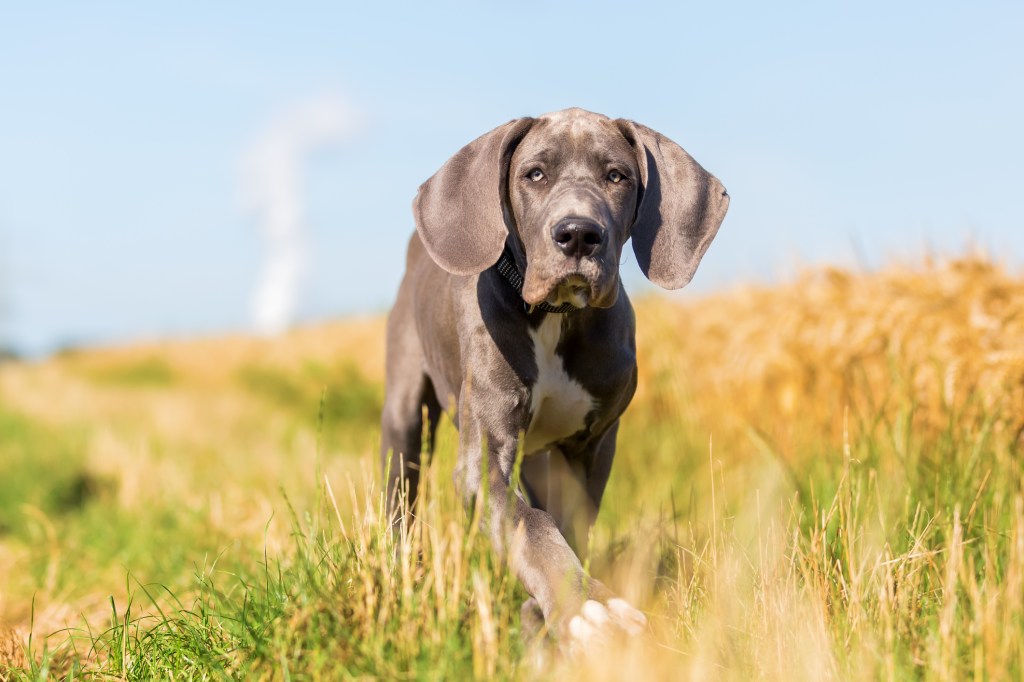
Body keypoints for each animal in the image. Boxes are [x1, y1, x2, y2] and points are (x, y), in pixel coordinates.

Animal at [382, 109, 729, 647]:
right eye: (535, 174)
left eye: (617, 176)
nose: (578, 234)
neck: (556, 316)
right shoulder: (485, 458)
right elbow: (532, 526)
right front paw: (588, 606)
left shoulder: (593, 448)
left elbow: (570, 527)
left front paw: (550, 612)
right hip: (405, 415)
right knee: (402, 493)